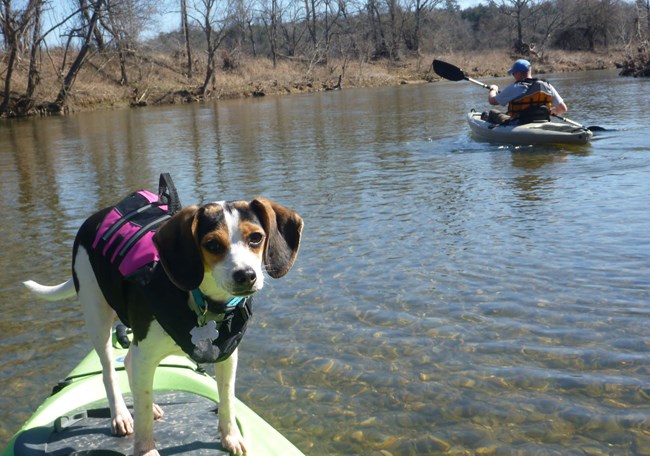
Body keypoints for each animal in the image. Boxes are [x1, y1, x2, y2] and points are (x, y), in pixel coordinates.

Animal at [22, 196, 302, 456]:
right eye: (212, 244)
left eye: (255, 238)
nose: (246, 275)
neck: (201, 302)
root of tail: (95, 218)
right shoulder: (146, 353)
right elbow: (143, 413)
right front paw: (145, 449)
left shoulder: (227, 356)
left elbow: (227, 400)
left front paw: (230, 436)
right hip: (97, 317)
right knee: (110, 371)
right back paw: (120, 415)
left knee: (130, 365)